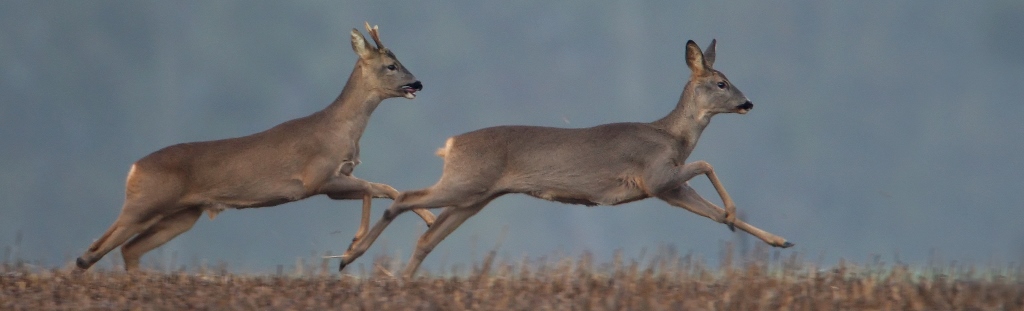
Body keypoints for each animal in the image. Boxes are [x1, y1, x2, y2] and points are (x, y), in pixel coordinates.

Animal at [74, 21, 436, 270]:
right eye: (391, 65)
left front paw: (431, 219)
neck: (341, 130)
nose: (417, 83)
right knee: (92, 252)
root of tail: (134, 168)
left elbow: (385, 187)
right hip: (144, 204)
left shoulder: (337, 178)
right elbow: (369, 190)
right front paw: (351, 249)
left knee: (127, 249)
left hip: (181, 214)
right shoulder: (317, 179)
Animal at [331, 38, 794, 276]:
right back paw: (350, 257)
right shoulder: (656, 176)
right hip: (465, 184)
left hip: (475, 197)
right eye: (721, 83)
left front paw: (778, 239)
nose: (748, 103)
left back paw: (400, 281)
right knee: (405, 199)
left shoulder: (668, 189)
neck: (673, 136)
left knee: (427, 235)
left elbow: (710, 212)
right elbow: (707, 165)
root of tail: (451, 142)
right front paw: (734, 213)